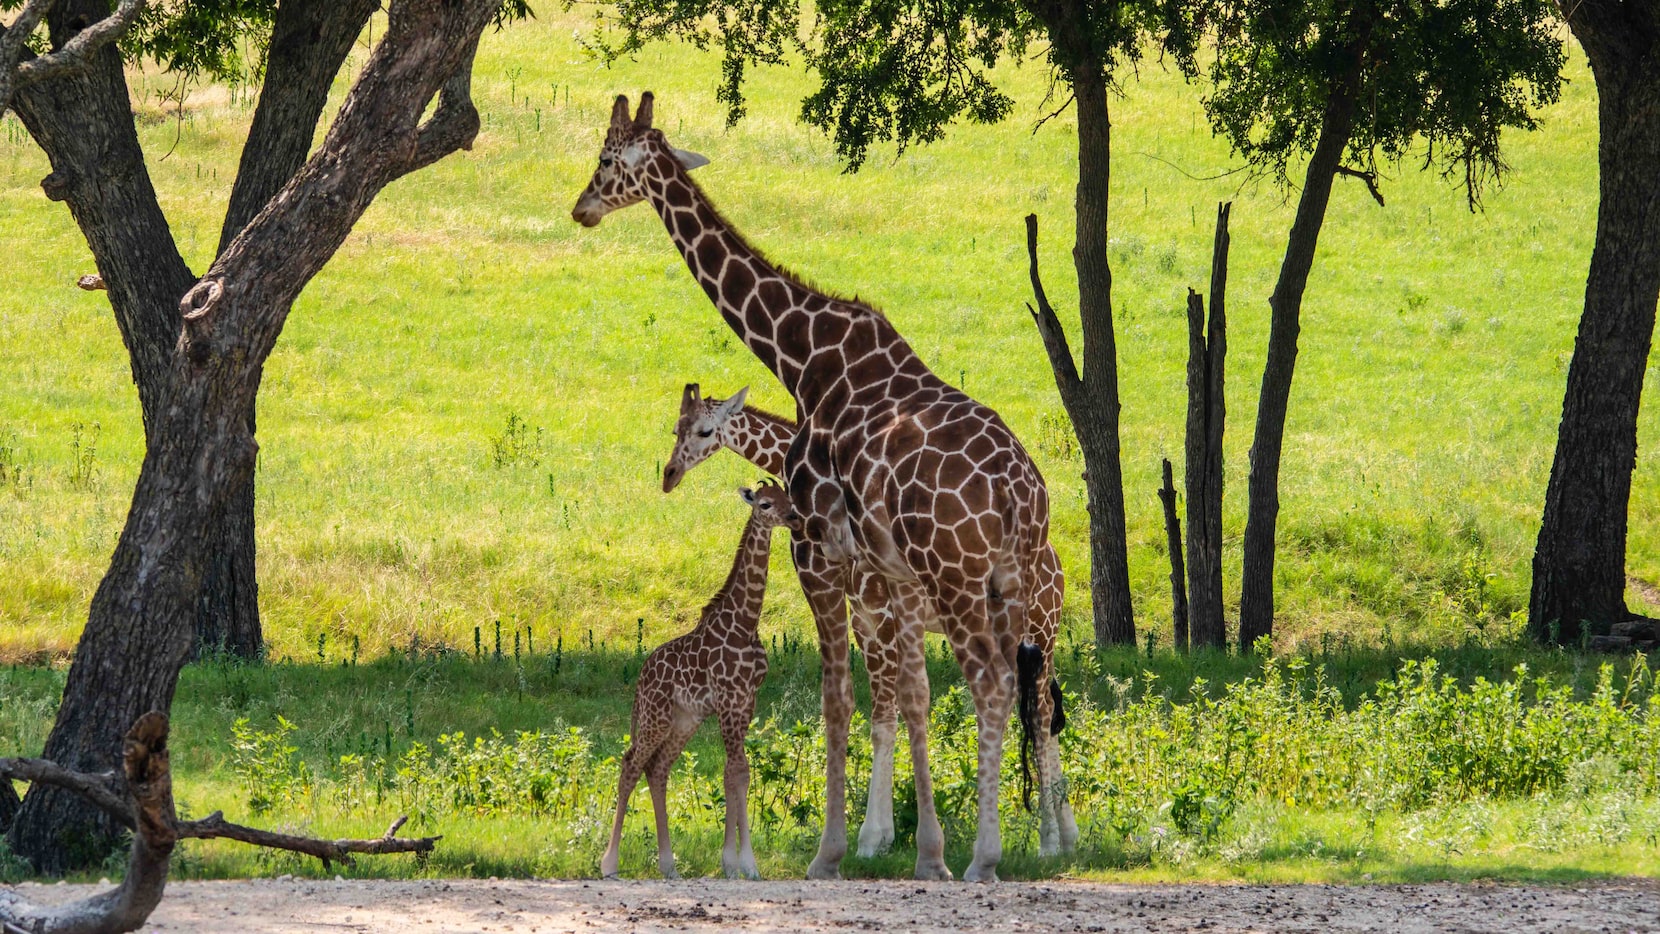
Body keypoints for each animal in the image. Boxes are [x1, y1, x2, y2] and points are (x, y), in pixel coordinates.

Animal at [600, 477, 800, 882]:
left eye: (788, 497)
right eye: (766, 504)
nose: (794, 518)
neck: (745, 624)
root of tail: (641, 679)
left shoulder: (746, 701)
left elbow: (735, 773)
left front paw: (735, 863)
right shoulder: (728, 700)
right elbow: (737, 769)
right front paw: (743, 863)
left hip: (684, 720)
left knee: (658, 768)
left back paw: (668, 864)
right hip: (655, 716)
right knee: (631, 763)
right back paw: (609, 863)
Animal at [667, 381, 1082, 856]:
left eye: (702, 430)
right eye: (675, 427)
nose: (669, 473)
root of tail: (1057, 565)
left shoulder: (880, 610)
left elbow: (886, 714)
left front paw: (874, 836)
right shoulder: (863, 617)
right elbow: (882, 713)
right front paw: (882, 831)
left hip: (1042, 627)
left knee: (1041, 711)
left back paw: (1052, 840)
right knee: (1044, 709)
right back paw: (1066, 833)